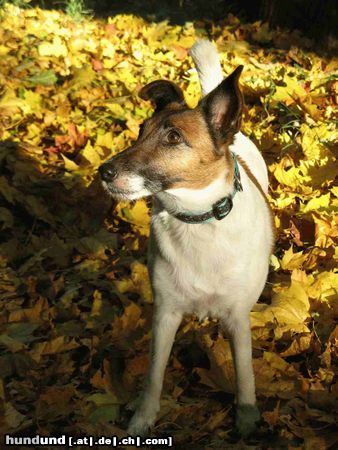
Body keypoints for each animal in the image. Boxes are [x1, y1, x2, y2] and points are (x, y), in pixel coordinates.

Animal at [98, 40, 274, 438]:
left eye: (174, 138)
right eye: (140, 130)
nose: (104, 171)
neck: (197, 220)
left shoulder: (238, 317)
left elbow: (245, 371)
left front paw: (247, 414)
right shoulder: (166, 313)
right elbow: (154, 375)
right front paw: (142, 416)